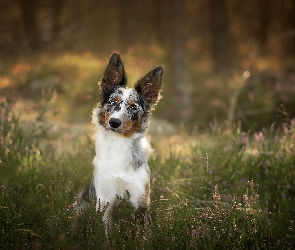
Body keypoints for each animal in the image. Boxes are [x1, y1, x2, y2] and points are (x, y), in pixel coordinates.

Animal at [72, 51, 163, 232]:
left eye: (133, 107)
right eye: (112, 102)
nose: (114, 122)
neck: (119, 145)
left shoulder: (140, 201)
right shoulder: (103, 200)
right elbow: (105, 232)